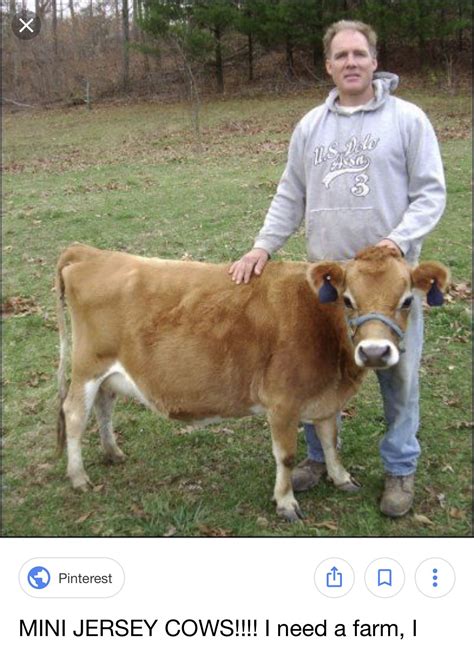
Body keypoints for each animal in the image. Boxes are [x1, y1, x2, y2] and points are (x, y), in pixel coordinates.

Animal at [55, 243, 448, 521]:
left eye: (407, 301)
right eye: (348, 300)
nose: (375, 352)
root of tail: (90, 253)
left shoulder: (325, 398)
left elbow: (330, 441)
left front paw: (340, 478)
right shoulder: (282, 402)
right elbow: (286, 456)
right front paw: (286, 502)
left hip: (109, 374)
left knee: (104, 405)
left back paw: (112, 452)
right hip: (87, 366)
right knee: (74, 414)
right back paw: (78, 476)